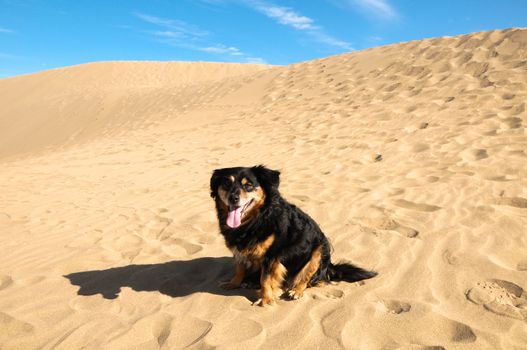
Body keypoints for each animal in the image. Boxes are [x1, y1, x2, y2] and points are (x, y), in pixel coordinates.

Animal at [208, 165, 378, 304]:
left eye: (248, 185)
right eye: (226, 184)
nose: (233, 198)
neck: (256, 219)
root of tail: (330, 267)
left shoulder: (271, 256)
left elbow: (265, 279)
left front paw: (266, 300)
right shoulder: (238, 250)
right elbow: (239, 269)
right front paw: (233, 284)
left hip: (319, 250)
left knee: (307, 279)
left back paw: (295, 291)